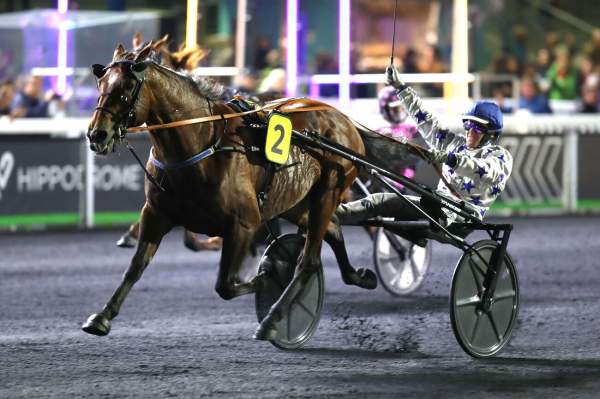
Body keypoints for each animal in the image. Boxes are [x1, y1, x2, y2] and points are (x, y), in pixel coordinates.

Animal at [81, 43, 380, 340]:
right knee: (333, 228)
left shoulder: (244, 222)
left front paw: (269, 273)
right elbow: (134, 267)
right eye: (101, 83)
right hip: (296, 202)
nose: (97, 134)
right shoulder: (156, 214)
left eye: (127, 86)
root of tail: (343, 119)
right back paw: (360, 276)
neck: (201, 145)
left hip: (329, 191)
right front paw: (102, 316)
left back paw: (273, 319)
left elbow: (226, 284)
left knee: (308, 261)